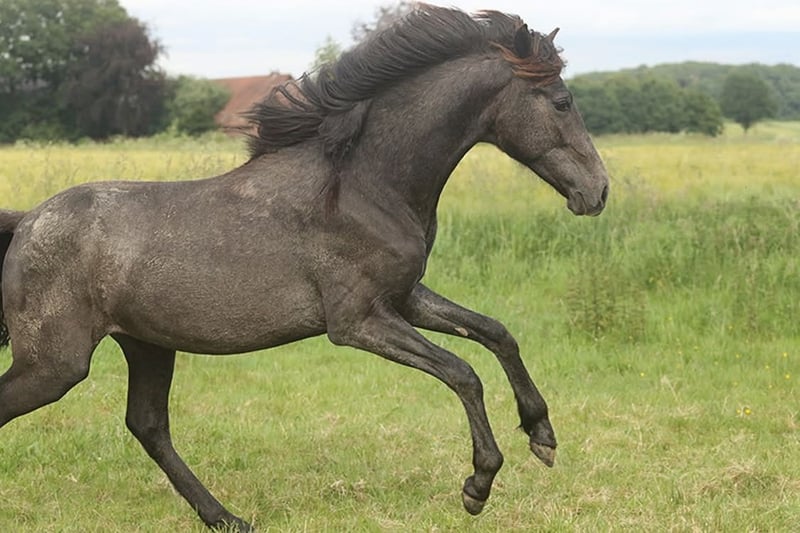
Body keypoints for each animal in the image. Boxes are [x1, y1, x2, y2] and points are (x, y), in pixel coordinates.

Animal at [0, 5, 608, 531]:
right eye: (561, 101)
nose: (597, 192)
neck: (364, 184)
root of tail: (27, 221)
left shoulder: (403, 298)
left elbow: (496, 333)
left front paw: (542, 435)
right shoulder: (357, 321)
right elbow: (463, 372)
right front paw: (477, 486)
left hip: (147, 344)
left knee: (148, 426)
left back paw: (228, 518)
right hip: (56, 365)